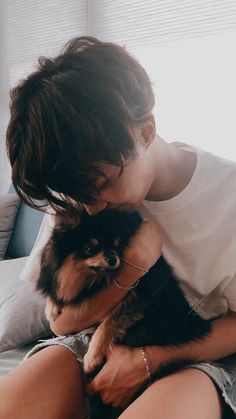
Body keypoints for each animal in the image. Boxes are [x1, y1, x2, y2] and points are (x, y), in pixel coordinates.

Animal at [37, 208, 212, 382]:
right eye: (89, 249)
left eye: (117, 245)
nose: (112, 259)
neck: (94, 281)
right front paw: (52, 307)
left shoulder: (141, 296)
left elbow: (107, 325)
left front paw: (92, 358)